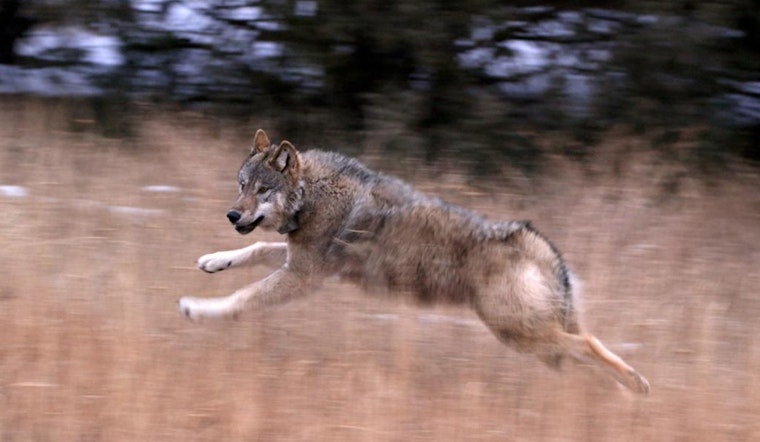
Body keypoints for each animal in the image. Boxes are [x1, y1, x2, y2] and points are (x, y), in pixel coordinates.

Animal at [178, 129, 650, 395]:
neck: (312, 194)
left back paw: (637, 386)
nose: (232, 215)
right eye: (241, 185)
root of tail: (534, 240)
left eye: (262, 191)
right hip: (534, 339)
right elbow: (255, 251)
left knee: (589, 344)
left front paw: (198, 309)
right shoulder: (299, 260)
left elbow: (241, 299)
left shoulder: (303, 276)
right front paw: (213, 261)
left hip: (519, 333)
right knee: (582, 350)